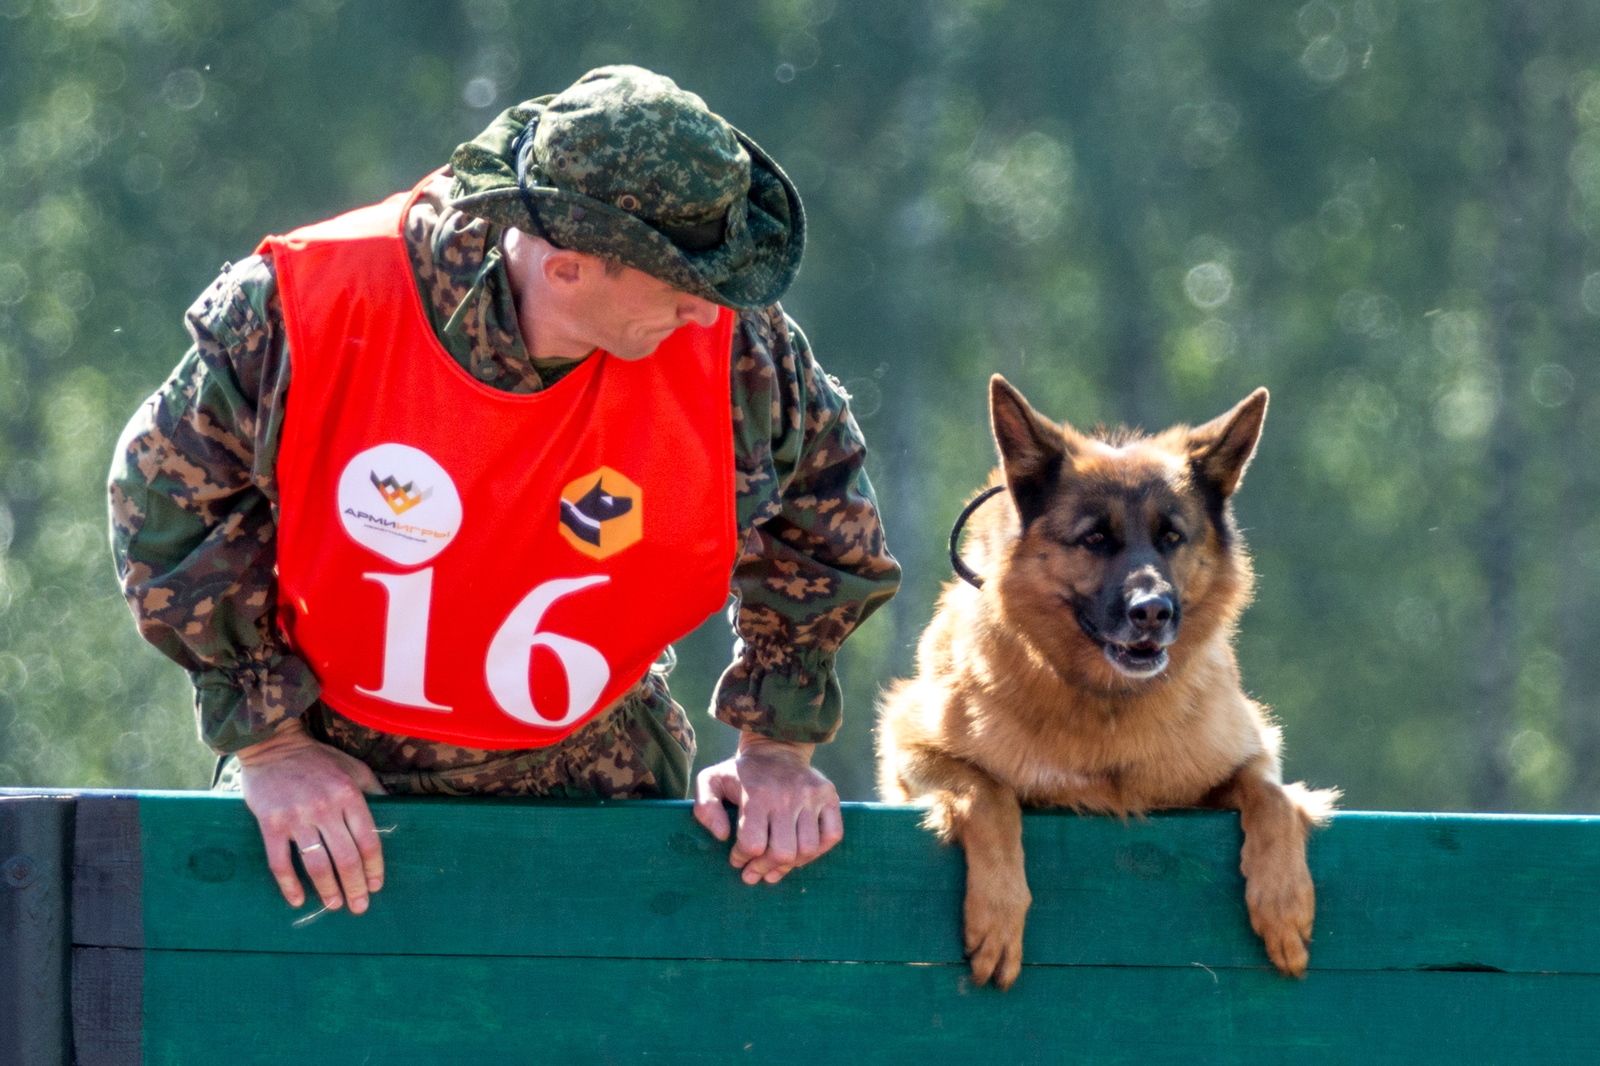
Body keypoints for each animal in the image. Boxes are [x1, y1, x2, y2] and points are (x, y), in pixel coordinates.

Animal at [876, 376, 1337, 985]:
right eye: (1095, 539)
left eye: (1172, 537)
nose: (1153, 612)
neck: (1108, 708)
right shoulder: (909, 747)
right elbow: (987, 792)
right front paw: (999, 913)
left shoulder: (1248, 756)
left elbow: (1271, 794)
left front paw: (1284, 901)